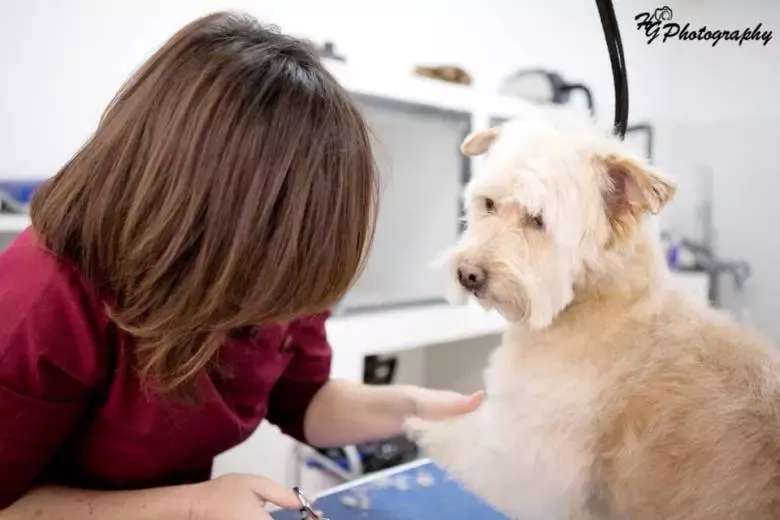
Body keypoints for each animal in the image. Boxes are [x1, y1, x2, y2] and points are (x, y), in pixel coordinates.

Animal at [406, 114, 780, 520]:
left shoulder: (527, 472)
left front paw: (418, 421)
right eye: (488, 203)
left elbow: (458, 439)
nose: (468, 274)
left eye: (537, 220)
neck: (592, 297)